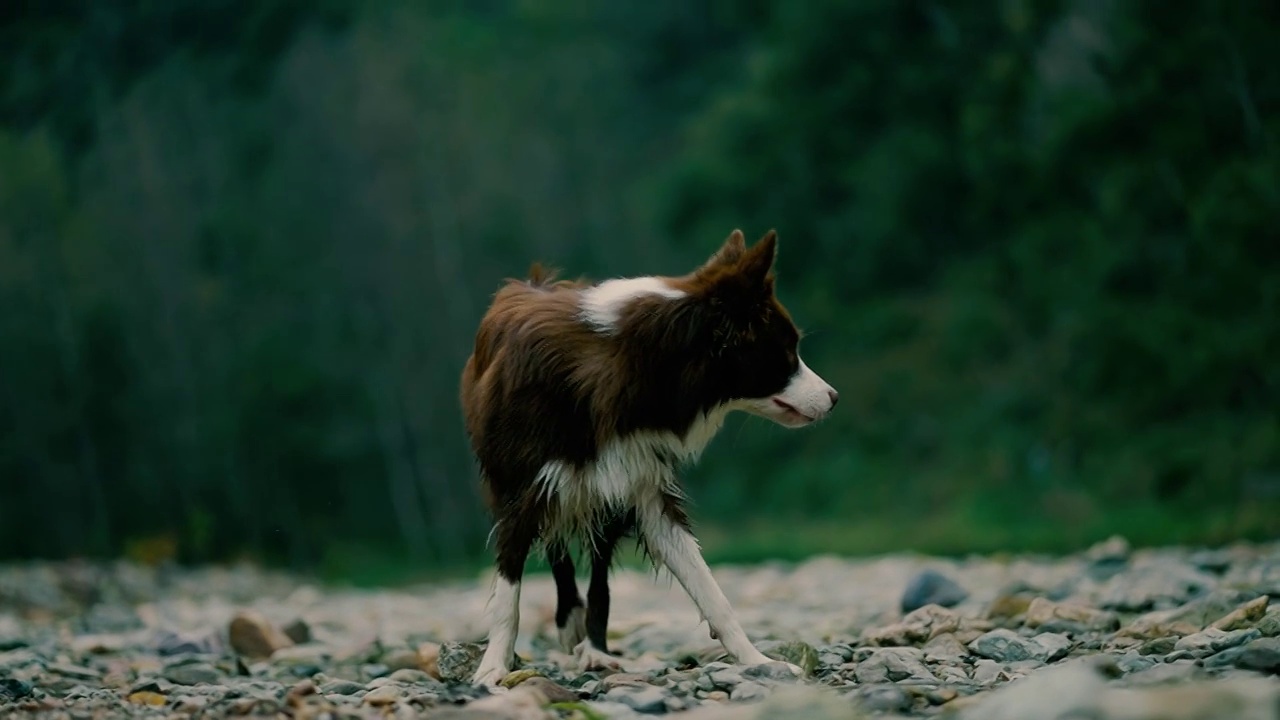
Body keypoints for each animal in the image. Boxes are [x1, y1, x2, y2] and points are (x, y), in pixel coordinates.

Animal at [460, 228, 839, 681]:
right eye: (787, 351)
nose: (834, 398)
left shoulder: (643, 486)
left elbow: (709, 588)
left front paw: (757, 661)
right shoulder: (522, 490)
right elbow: (508, 592)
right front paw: (493, 668)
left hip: (603, 496)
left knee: (599, 576)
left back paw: (595, 647)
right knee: (557, 551)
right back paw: (570, 626)